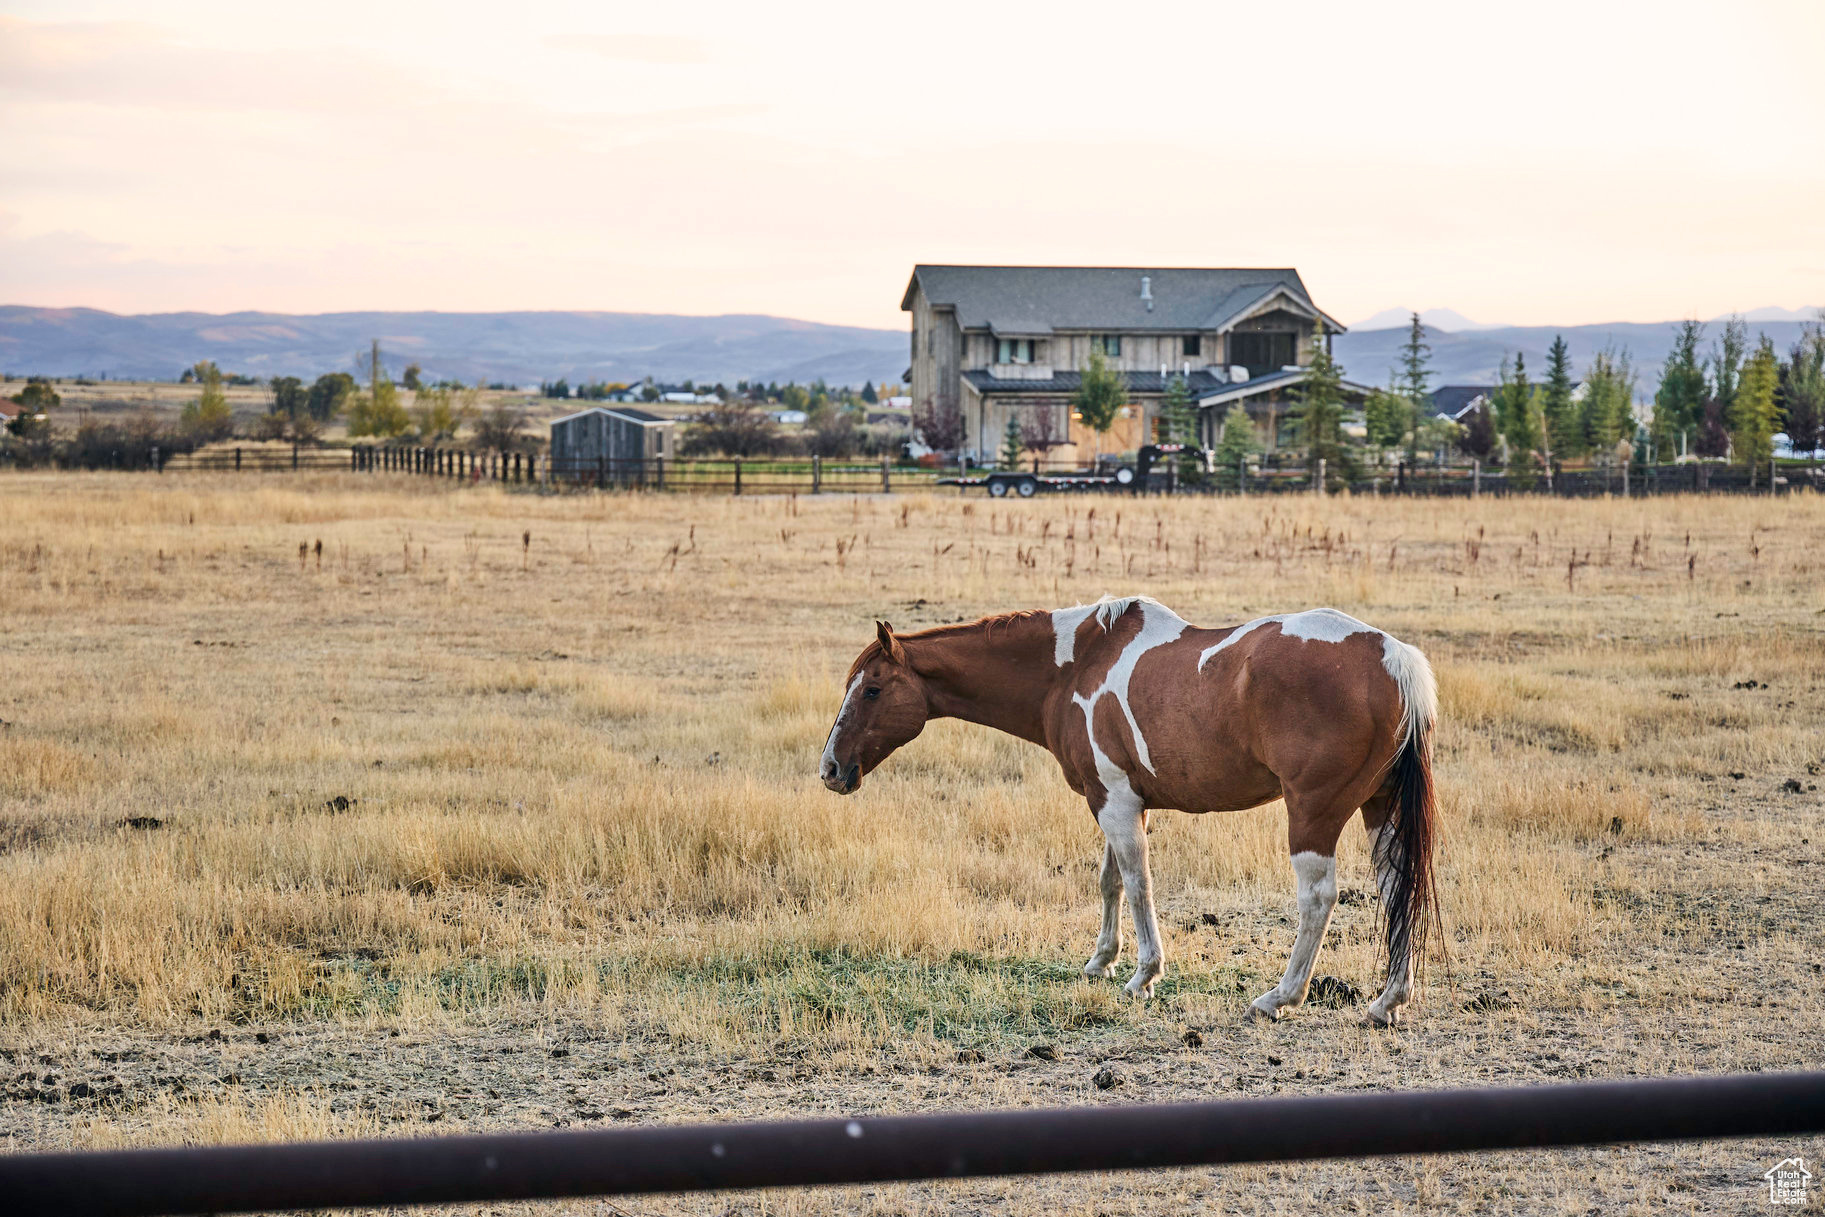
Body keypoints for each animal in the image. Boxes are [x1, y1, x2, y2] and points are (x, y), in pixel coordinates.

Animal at [824, 598, 1438, 1029]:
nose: (831, 769)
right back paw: (1388, 1001)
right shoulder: (1117, 799)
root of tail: (1391, 657)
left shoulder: (1115, 803)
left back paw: (1279, 997)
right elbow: (1111, 881)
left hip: (1314, 814)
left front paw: (1143, 974)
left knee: (1317, 899)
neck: (1073, 667)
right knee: (1395, 888)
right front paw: (1102, 960)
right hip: (1379, 808)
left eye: (872, 689)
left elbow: (1139, 884)